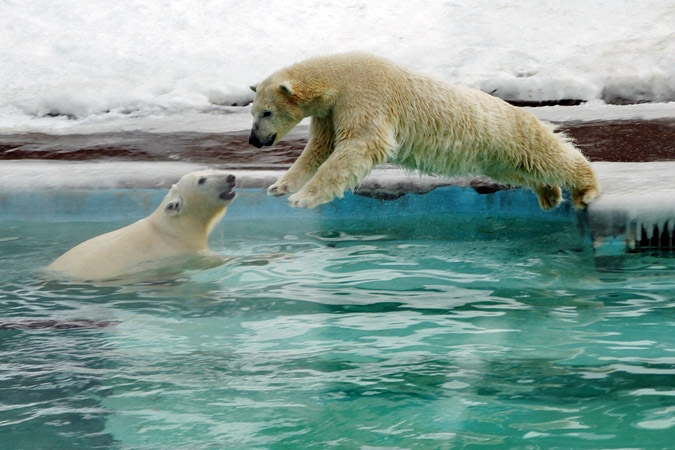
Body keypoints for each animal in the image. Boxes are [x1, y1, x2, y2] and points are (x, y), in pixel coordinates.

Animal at [248, 51, 604, 210]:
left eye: (266, 112)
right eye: (253, 112)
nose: (254, 140)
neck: (340, 76)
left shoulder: (364, 97)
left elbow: (358, 147)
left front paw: (302, 198)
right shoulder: (329, 113)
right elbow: (318, 150)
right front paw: (280, 186)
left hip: (510, 131)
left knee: (547, 153)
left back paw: (585, 189)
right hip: (497, 154)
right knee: (521, 169)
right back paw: (549, 194)